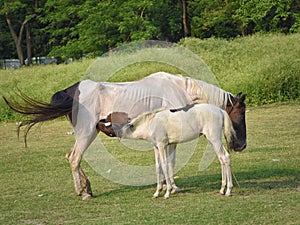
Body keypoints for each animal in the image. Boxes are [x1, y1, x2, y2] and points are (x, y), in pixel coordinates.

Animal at [2, 72, 246, 200]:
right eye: (241, 112)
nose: (241, 145)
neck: (178, 87)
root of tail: (72, 91)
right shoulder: (170, 138)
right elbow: (169, 162)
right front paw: (172, 188)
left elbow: (165, 163)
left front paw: (167, 188)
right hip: (87, 133)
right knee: (75, 158)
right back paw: (84, 192)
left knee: (71, 157)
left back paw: (86, 188)